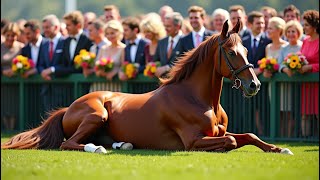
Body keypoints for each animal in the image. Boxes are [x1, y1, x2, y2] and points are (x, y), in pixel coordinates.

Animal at [1, 20, 294, 155]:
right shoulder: (193, 141)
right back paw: (98, 149)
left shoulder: (220, 130)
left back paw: (122, 144)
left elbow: (249, 135)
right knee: (68, 143)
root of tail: (68, 108)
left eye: (246, 50)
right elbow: (232, 141)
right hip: (97, 114)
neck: (199, 100)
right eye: (232, 53)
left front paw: (281, 149)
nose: (254, 85)